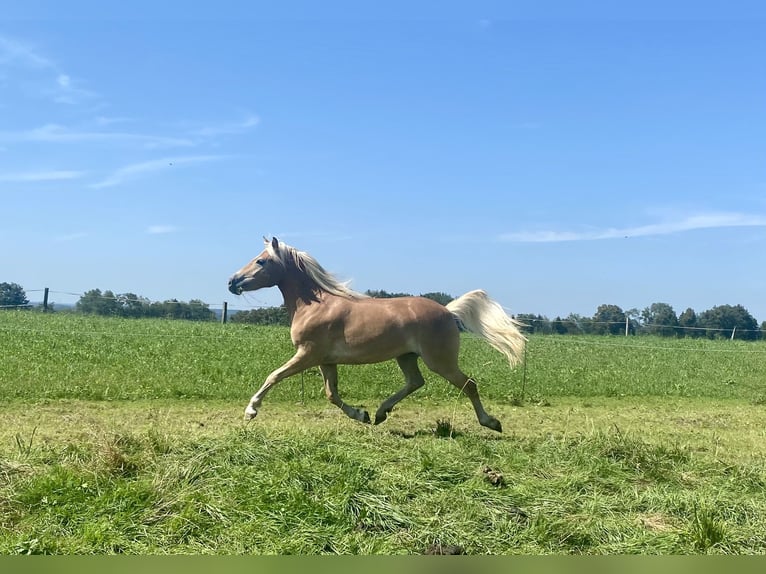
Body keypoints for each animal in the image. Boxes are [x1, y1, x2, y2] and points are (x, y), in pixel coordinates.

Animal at [228, 237, 528, 432]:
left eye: (261, 261)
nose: (232, 281)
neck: (314, 305)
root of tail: (447, 310)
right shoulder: (326, 360)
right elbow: (331, 394)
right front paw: (361, 414)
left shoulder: (307, 354)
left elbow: (274, 376)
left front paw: (250, 411)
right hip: (407, 357)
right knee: (416, 382)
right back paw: (382, 413)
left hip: (439, 360)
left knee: (468, 384)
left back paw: (491, 422)